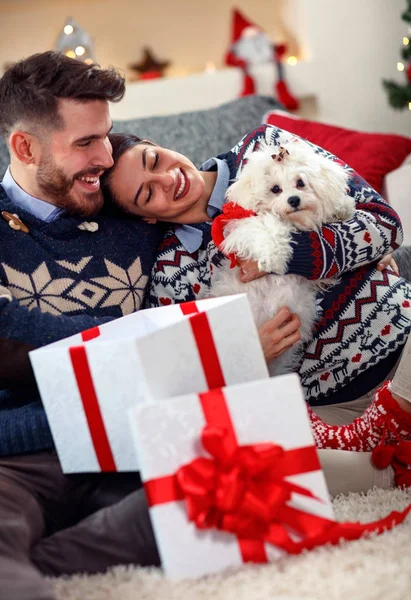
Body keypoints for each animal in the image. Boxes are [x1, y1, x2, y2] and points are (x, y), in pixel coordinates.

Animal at [211, 139, 356, 376]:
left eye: (300, 183)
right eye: (275, 189)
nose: (294, 199)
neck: (293, 222)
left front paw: (342, 207)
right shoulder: (244, 227)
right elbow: (268, 226)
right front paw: (275, 255)